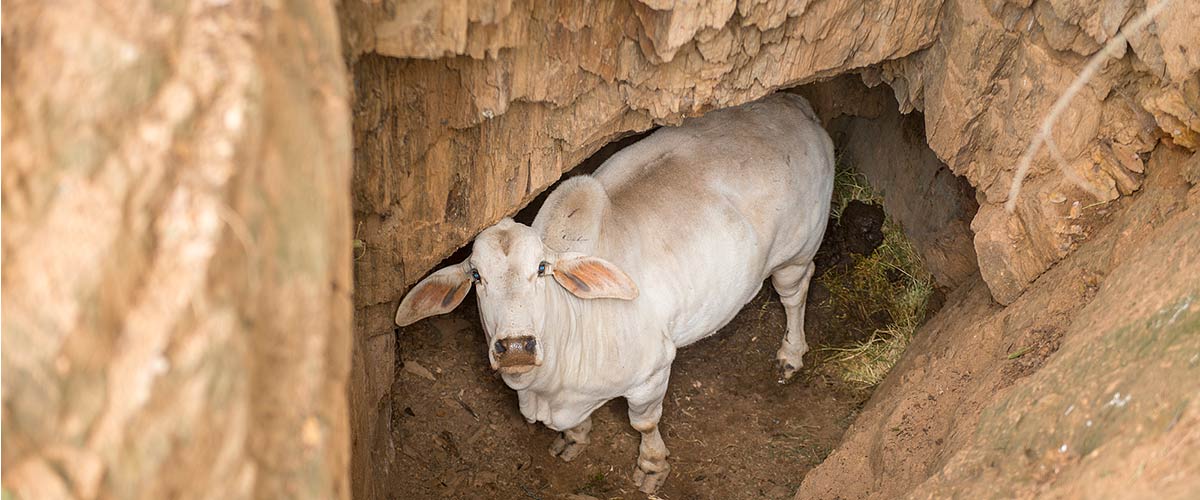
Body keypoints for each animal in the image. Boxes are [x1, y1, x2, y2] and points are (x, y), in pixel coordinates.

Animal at [398, 91, 830, 494]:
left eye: (542, 268)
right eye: (476, 275)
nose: (517, 346)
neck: (547, 388)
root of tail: (792, 104)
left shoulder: (653, 373)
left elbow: (645, 423)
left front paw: (652, 467)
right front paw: (573, 440)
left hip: (795, 253)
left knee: (794, 292)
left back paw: (790, 355)